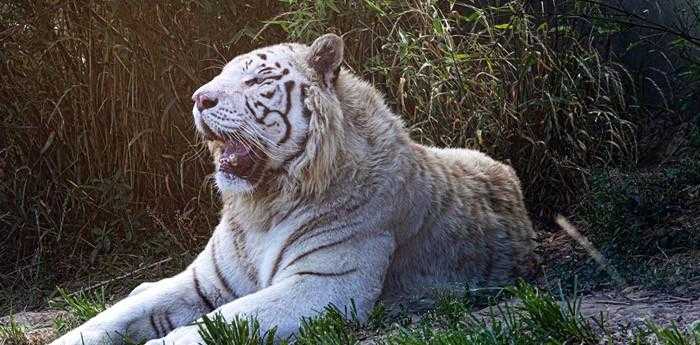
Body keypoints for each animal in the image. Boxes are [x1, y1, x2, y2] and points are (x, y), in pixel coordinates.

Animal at [50, 33, 536, 344]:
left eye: (258, 81)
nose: (199, 98)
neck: (262, 205)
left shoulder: (325, 285)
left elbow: (221, 322)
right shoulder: (202, 280)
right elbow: (112, 316)